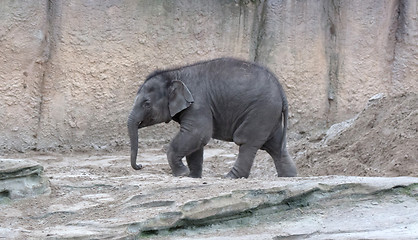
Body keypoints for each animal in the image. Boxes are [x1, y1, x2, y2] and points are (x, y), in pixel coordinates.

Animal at [127, 58, 298, 178]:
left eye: (146, 104)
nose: (140, 165)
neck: (174, 73)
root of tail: (282, 92)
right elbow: (196, 142)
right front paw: (192, 176)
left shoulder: (198, 103)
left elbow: (198, 133)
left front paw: (182, 174)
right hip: (269, 115)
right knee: (275, 146)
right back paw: (289, 176)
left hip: (260, 111)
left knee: (246, 142)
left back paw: (230, 177)